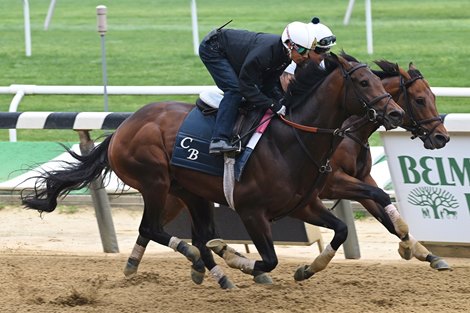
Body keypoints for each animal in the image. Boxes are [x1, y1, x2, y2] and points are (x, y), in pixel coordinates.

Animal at [22, 53, 404, 288]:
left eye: (379, 81)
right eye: (365, 83)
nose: (396, 113)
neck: (290, 139)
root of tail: (123, 127)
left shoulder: (303, 205)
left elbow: (340, 230)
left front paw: (307, 269)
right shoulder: (251, 211)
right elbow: (268, 259)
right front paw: (236, 258)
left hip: (193, 193)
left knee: (197, 235)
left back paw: (215, 272)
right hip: (155, 181)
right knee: (156, 229)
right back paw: (205, 261)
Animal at [121, 56, 452, 286]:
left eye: (433, 97)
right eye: (420, 99)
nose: (442, 137)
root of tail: (126, 125)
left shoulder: (337, 187)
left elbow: (379, 209)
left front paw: (424, 252)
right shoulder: (333, 183)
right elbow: (378, 200)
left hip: (187, 193)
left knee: (182, 233)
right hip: (158, 184)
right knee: (152, 228)